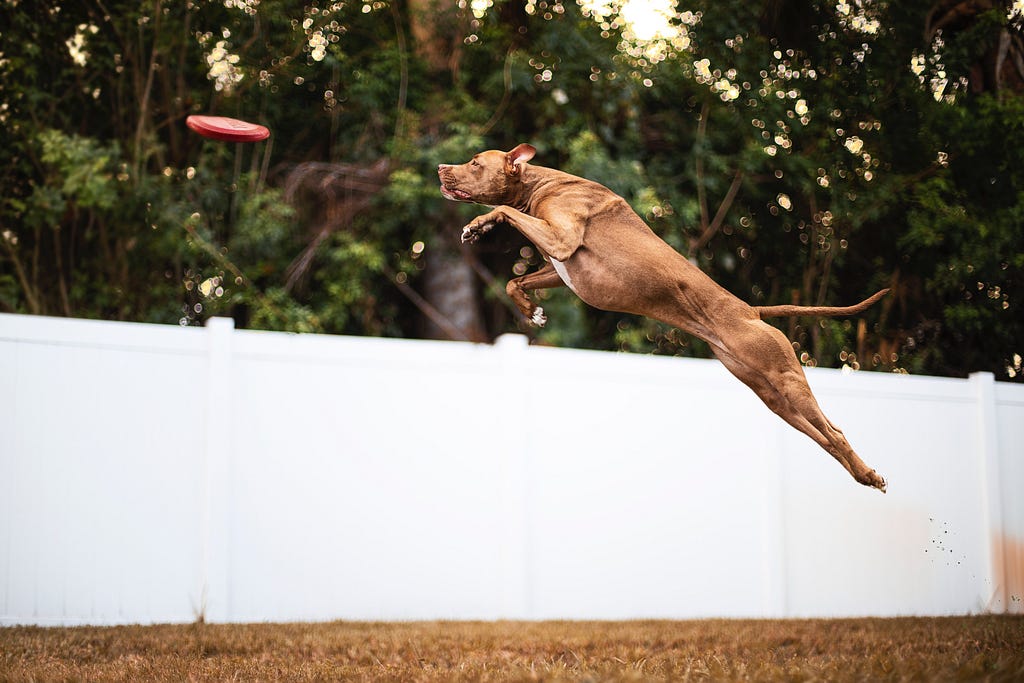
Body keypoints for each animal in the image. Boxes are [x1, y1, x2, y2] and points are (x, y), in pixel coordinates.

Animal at [436, 143, 884, 491]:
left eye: (474, 162)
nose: (440, 167)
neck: (540, 183)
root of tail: (750, 310)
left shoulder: (562, 242)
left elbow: (504, 210)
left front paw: (481, 221)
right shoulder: (558, 267)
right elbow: (516, 281)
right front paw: (530, 308)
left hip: (786, 379)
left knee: (834, 432)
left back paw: (869, 474)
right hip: (771, 396)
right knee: (822, 436)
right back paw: (863, 475)